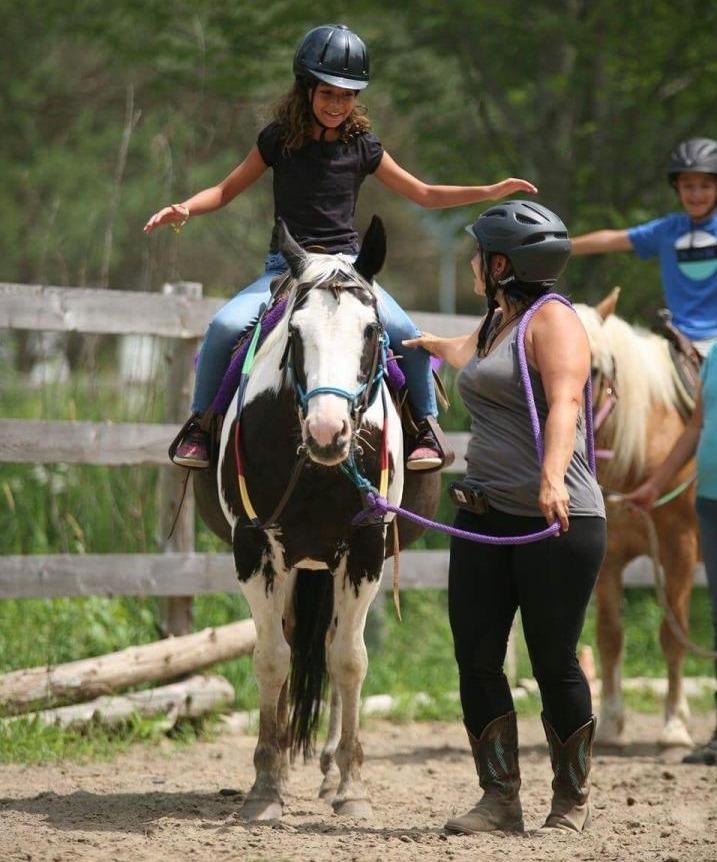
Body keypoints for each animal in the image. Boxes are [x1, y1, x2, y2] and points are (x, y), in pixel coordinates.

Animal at [193, 218, 440, 824]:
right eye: (296, 334)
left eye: (373, 331)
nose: (329, 432)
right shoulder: (255, 547)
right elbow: (270, 659)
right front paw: (265, 786)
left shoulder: (365, 548)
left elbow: (348, 661)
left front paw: (351, 789)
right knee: (287, 640)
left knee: (331, 645)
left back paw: (328, 771)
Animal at [576, 292, 700, 748]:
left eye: (594, 368)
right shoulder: (607, 557)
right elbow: (610, 635)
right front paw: (612, 722)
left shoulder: (679, 547)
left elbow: (672, 635)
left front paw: (675, 726)